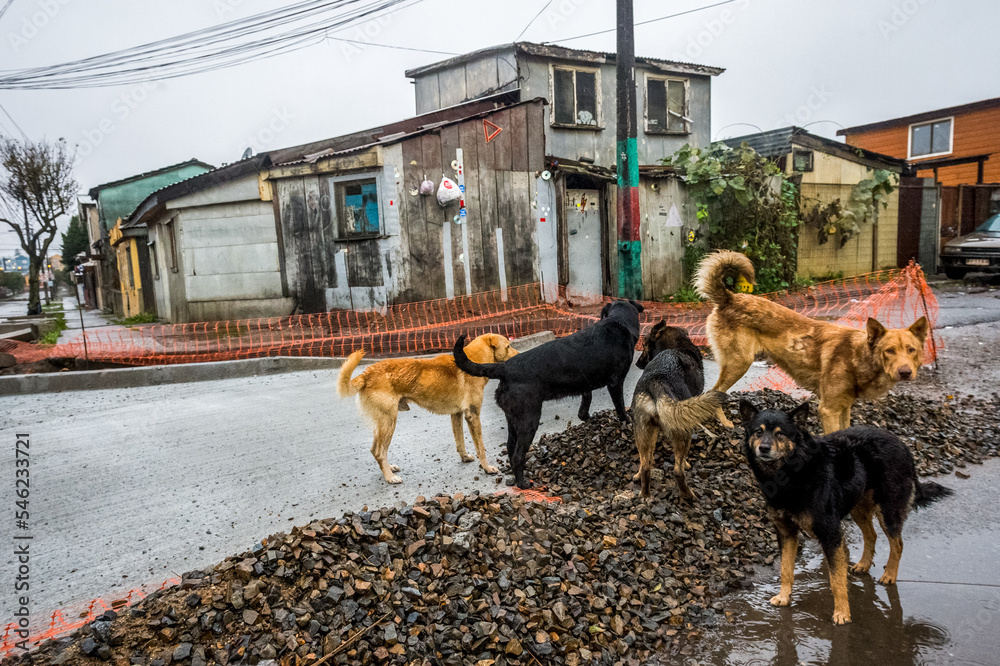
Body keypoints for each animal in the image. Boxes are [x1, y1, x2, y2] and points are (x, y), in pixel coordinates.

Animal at [340, 332, 520, 482]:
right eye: (508, 346)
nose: (520, 355)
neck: (473, 360)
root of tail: (366, 374)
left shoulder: (457, 414)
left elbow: (460, 441)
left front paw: (465, 458)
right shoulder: (473, 415)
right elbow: (481, 448)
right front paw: (487, 468)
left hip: (382, 424)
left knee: (375, 450)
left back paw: (389, 469)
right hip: (389, 422)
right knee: (379, 452)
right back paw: (390, 477)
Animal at [452, 298, 644, 486]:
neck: (617, 322)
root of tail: (504, 367)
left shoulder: (585, 383)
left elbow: (586, 399)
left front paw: (587, 417)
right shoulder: (616, 383)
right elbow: (620, 408)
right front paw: (626, 422)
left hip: (513, 419)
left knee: (510, 447)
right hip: (529, 420)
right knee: (518, 456)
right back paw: (523, 483)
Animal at [632, 322, 728, 498]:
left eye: (644, 344)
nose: (637, 364)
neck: (676, 347)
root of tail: (656, 382)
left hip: (642, 431)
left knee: (645, 466)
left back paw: (645, 494)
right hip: (682, 431)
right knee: (677, 471)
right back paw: (688, 495)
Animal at [696, 249, 928, 430]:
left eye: (911, 350)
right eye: (889, 351)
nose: (905, 372)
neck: (857, 356)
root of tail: (730, 297)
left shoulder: (844, 408)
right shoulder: (828, 410)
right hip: (739, 363)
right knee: (714, 392)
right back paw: (724, 423)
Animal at [740, 400, 956, 624]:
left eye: (780, 434)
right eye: (758, 432)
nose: (764, 448)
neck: (793, 471)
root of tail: (903, 445)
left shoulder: (830, 533)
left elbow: (836, 580)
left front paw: (842, 613)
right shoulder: (786, 532)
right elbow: (785, 568)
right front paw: (784, 597)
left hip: (888, 510)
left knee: (897, 544)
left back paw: (889, 575)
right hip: (859, 507)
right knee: (872, 535)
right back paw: (863, 564)